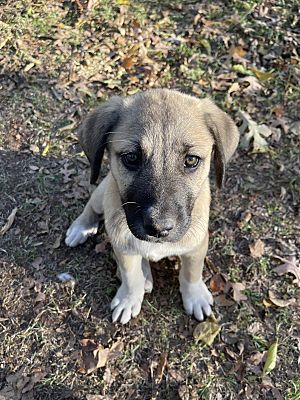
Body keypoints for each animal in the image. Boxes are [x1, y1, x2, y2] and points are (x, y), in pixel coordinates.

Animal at [65, 88, 239, 324]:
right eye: (131, 157)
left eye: (191, 160)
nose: (159, 228)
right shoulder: (122, 245)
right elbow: (130, 276)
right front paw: (129, 298)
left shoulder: (197, 245)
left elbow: (192, 272)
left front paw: (195, 295)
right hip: (104, 190)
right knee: (91, 206)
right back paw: (81, 227)